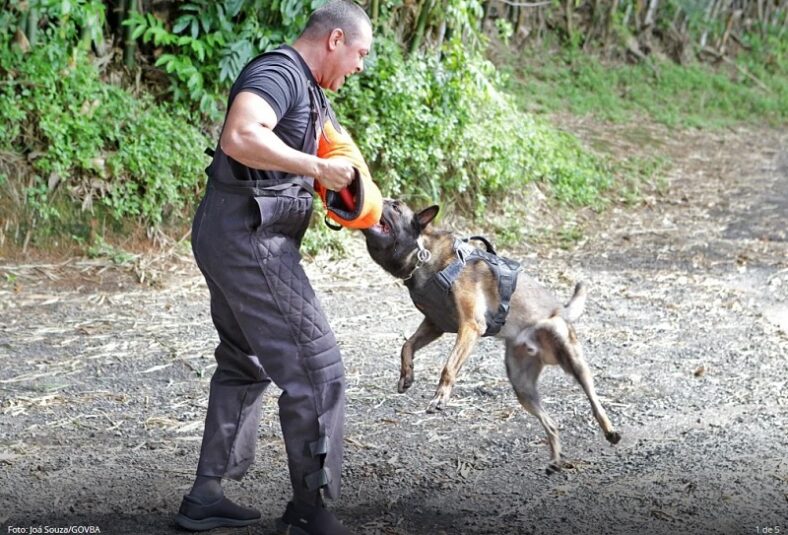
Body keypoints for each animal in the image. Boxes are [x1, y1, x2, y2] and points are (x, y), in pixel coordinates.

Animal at [364, 199, 620, 472]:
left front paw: (440, 398)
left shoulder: (470, 326)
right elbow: (407, 346)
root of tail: (560, 310)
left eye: (396, 206)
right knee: (551, 424)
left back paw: (610, 430)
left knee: (594, 401)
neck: (426, 256)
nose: (379, 198)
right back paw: (555, 459)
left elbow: (448, 367)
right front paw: (407, 375)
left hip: (574, 364)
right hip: (522, 388)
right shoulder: (434, 325)